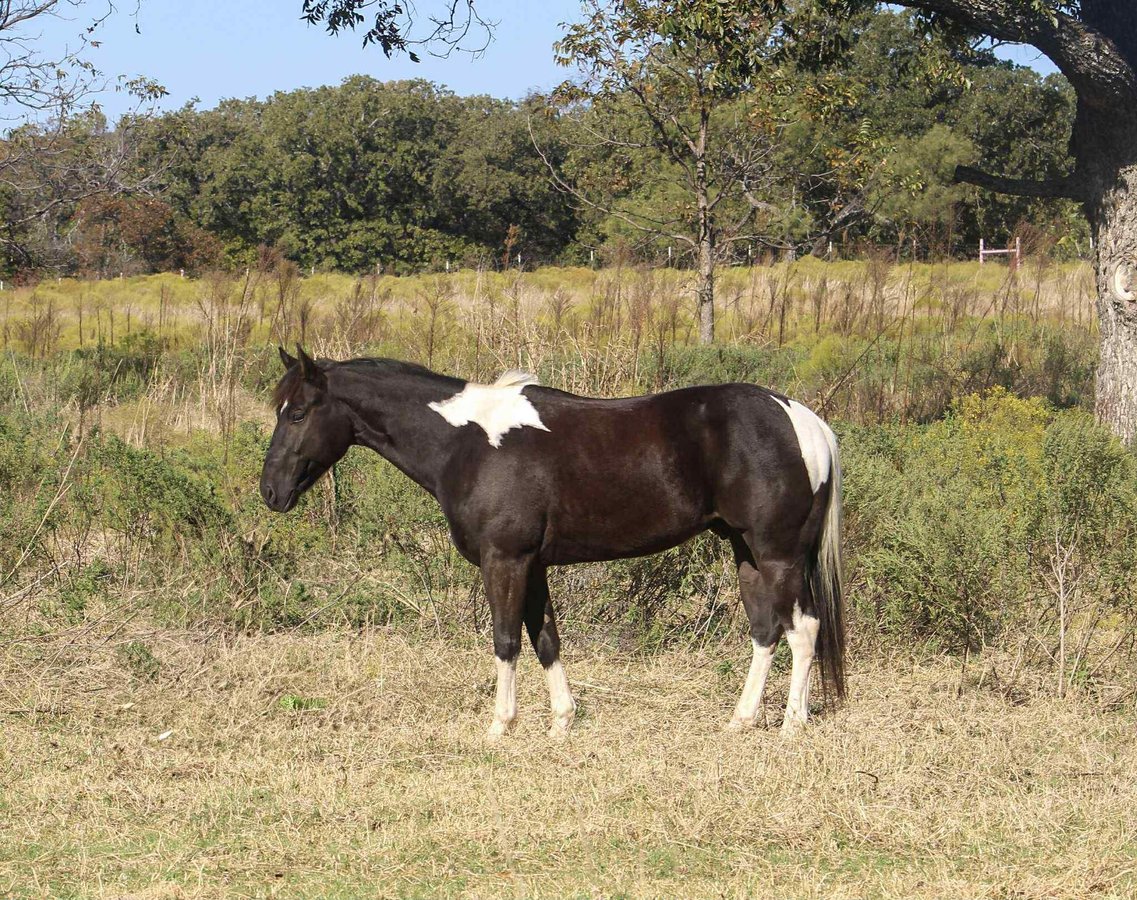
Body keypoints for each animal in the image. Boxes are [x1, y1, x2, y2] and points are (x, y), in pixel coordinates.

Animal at [261, 347, 845, 740]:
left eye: (298, 412)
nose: (270, 491)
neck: (465, 441)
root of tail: (801, 418)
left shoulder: (504, 560)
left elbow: (506, 640)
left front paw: (500, 726)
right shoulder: (533, 564)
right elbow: (545, 638)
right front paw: (562, 722)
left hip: (777, 554)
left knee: (802, 630)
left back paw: (791, 724)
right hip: (746, 552)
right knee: (766, 631)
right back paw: (741, 720)